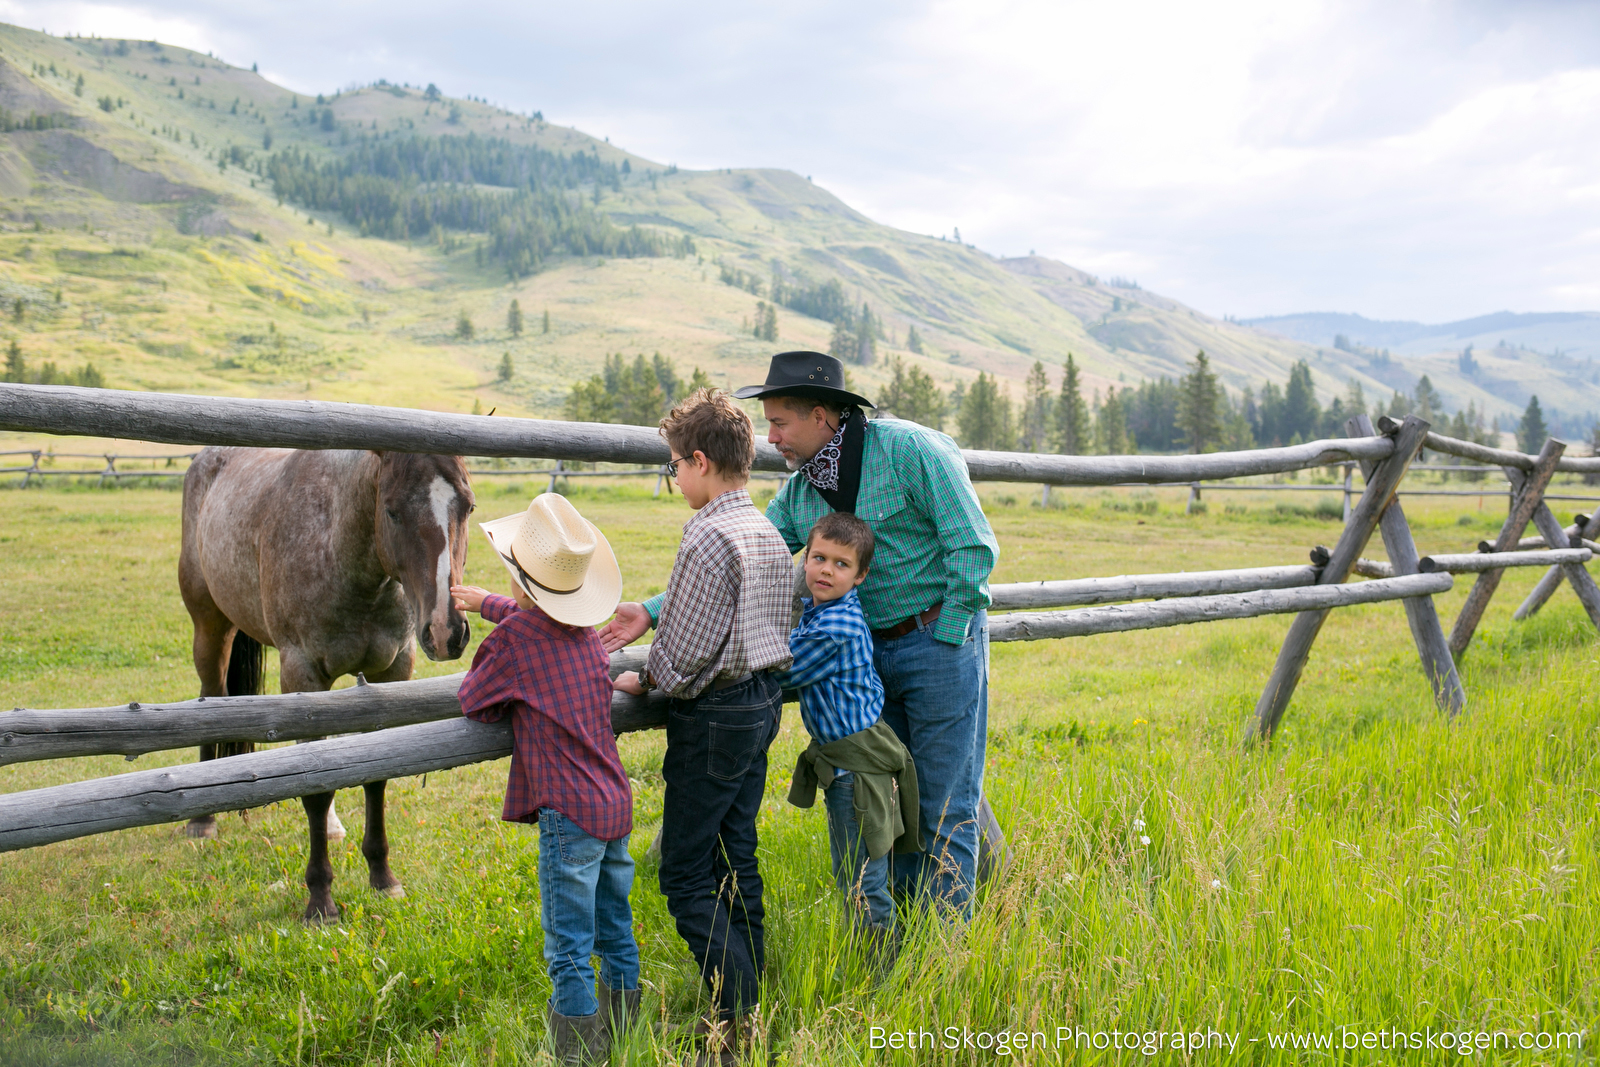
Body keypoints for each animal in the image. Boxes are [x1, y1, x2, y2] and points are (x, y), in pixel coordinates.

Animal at [179, 447, 473, 921]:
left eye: (467, 507)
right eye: (391, 511)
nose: (447, 630)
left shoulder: (391, 673)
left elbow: (376, 775)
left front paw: (383, 877)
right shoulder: (304, 675)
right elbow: (315, 789)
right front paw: (320, 900)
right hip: (210, 625)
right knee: (211, 696)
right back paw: (202, 821)